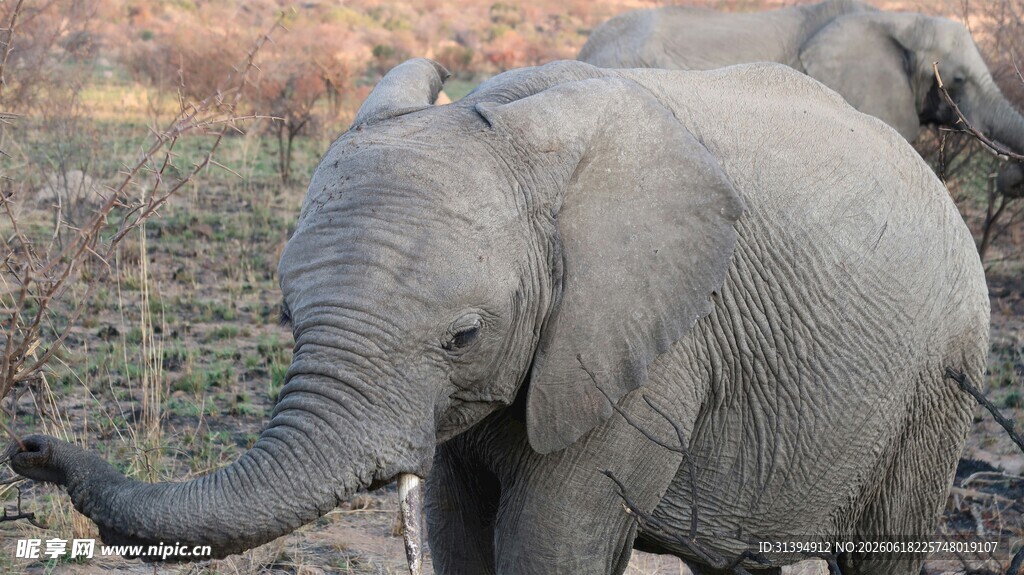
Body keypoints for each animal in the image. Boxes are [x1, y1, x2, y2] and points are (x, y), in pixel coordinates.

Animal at [6, 58, 989, 575]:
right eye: (287, 314)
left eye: (464, 335)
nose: (31, 445)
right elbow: (455, 526)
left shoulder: (649, 350)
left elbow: (552, 543)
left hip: (941, 373)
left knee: (881, 550)